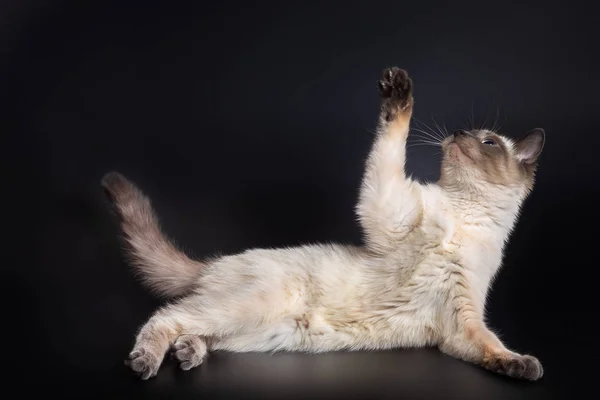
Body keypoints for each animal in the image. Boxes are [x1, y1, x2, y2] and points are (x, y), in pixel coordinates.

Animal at [102, 66, 544, 382]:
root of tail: (217, 262)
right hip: (251, 305)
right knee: (167, 315)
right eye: (468, 134)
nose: (456, 132)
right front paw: (398, 90)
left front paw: (523, 365)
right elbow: (392, 137)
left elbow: (491, 345)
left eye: (487, 143)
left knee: (189, 324)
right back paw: (146, 361)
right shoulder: (388, 207)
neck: (462, 217)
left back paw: (187, 353)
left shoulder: (461, 320)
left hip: (252, 328)